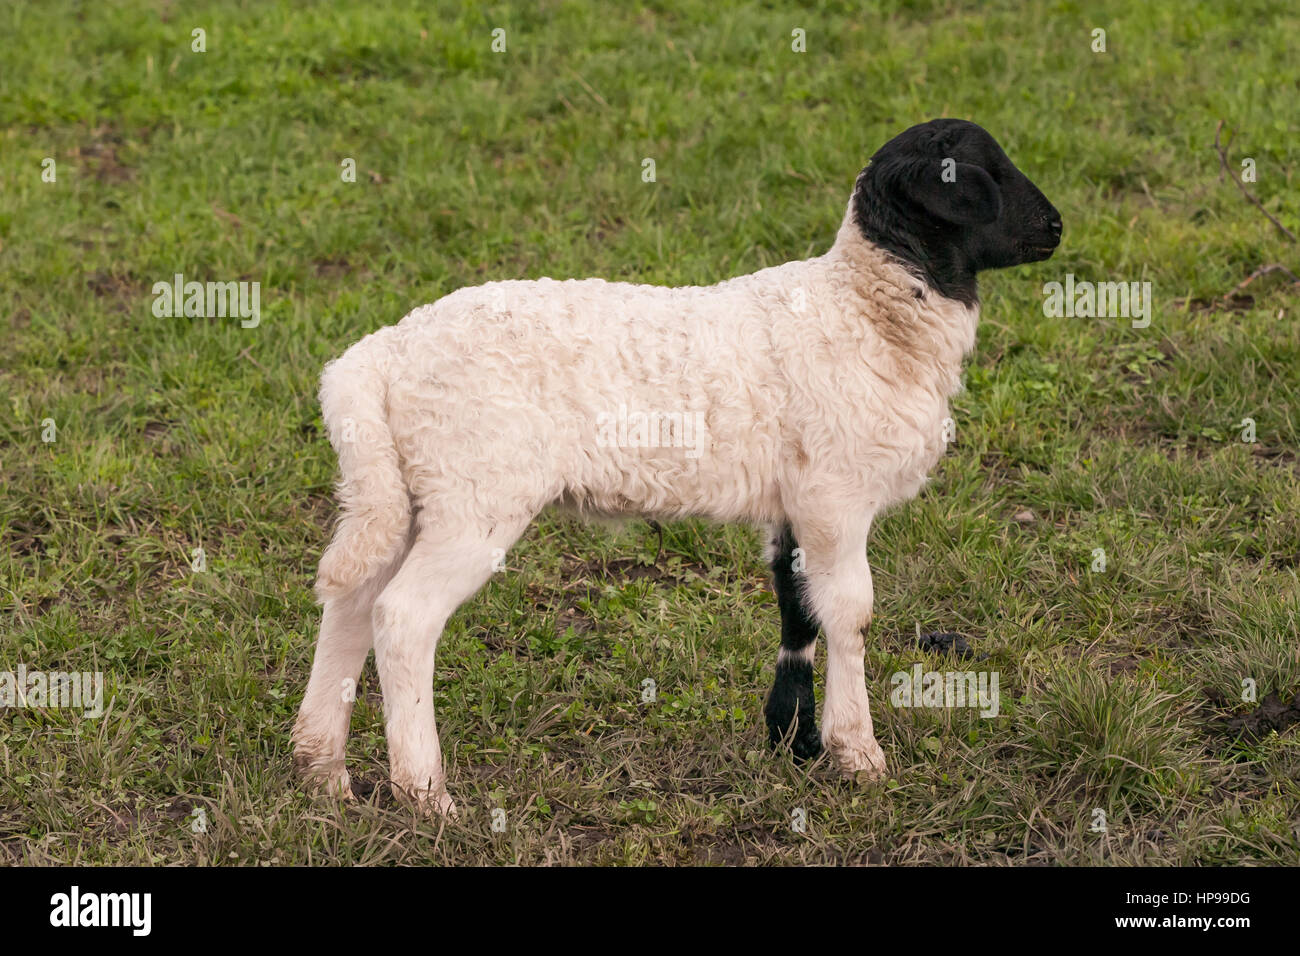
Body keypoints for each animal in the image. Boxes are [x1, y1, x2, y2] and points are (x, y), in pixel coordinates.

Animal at [295, 115, 1066, 811]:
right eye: (983, 172)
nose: (1057, 227)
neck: (865, 311)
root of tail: (378, 358)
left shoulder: (794, 505)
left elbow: (798, 613)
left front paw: (795, 743)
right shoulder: (835, 497)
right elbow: (852, 615)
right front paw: (858, 755)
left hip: (402, 492)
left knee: (352, 602)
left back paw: (321, 771)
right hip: (473, 493)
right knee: (402, 618)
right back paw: (426, 794)